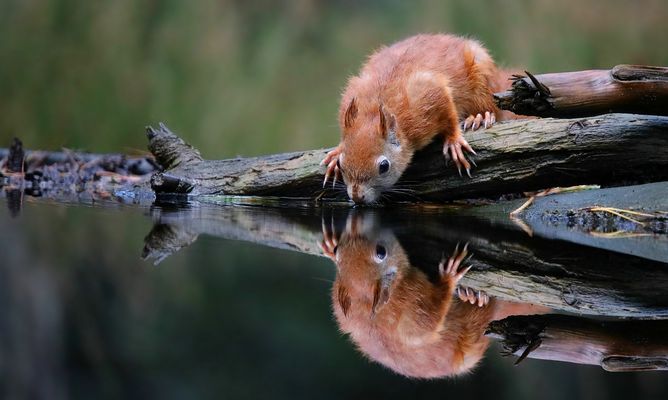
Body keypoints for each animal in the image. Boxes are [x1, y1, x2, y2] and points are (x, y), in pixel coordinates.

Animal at [320, 212, 546, 378]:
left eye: (340, 250)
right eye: (381, 252)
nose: (352, 230)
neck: (363, 298)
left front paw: (329, 248)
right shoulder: (411, 303)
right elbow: (428, 321)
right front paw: (449, 277)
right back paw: (473, 296)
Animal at [321, 33, 521, 203]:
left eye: (384, 166)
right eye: (342, 163)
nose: (357, 197)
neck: (375, 108)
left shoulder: (429, 92)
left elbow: (450, 115)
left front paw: (454, 140)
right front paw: (336, 152)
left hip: (483, 78)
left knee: (491, 107)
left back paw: (480, 116)